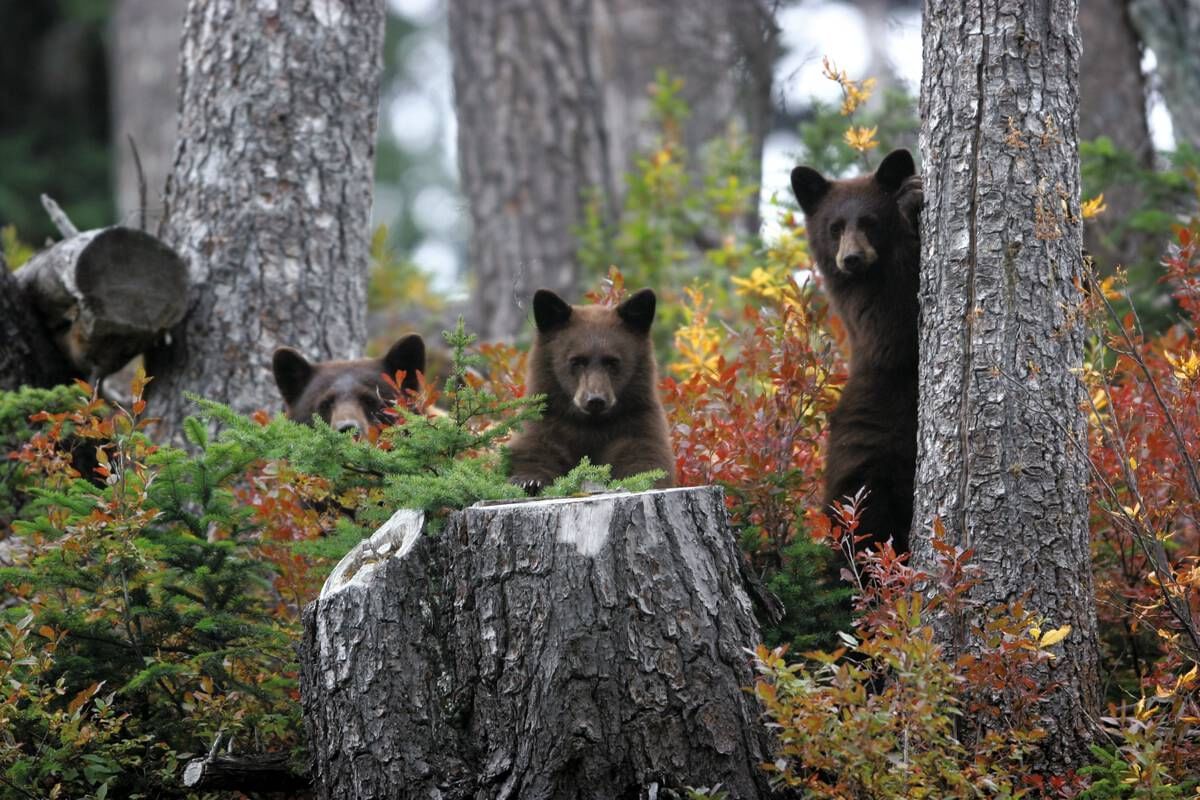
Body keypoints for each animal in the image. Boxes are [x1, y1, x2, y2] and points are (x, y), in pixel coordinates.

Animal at [504, 284, 676, 491]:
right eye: (577, 361)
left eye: (612, 362)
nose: (595, 400)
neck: (590, 426)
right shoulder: (546, 420)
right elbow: (535, 448)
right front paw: (528, 480)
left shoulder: (638, 421)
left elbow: (645, 456)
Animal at [792, 146, 921, 554]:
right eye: (835, 227)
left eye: (869, 222)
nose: (850, 258)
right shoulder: (857, 306)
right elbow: (893, 328)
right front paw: (909, 203)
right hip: (864, 453)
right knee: (861, 522)